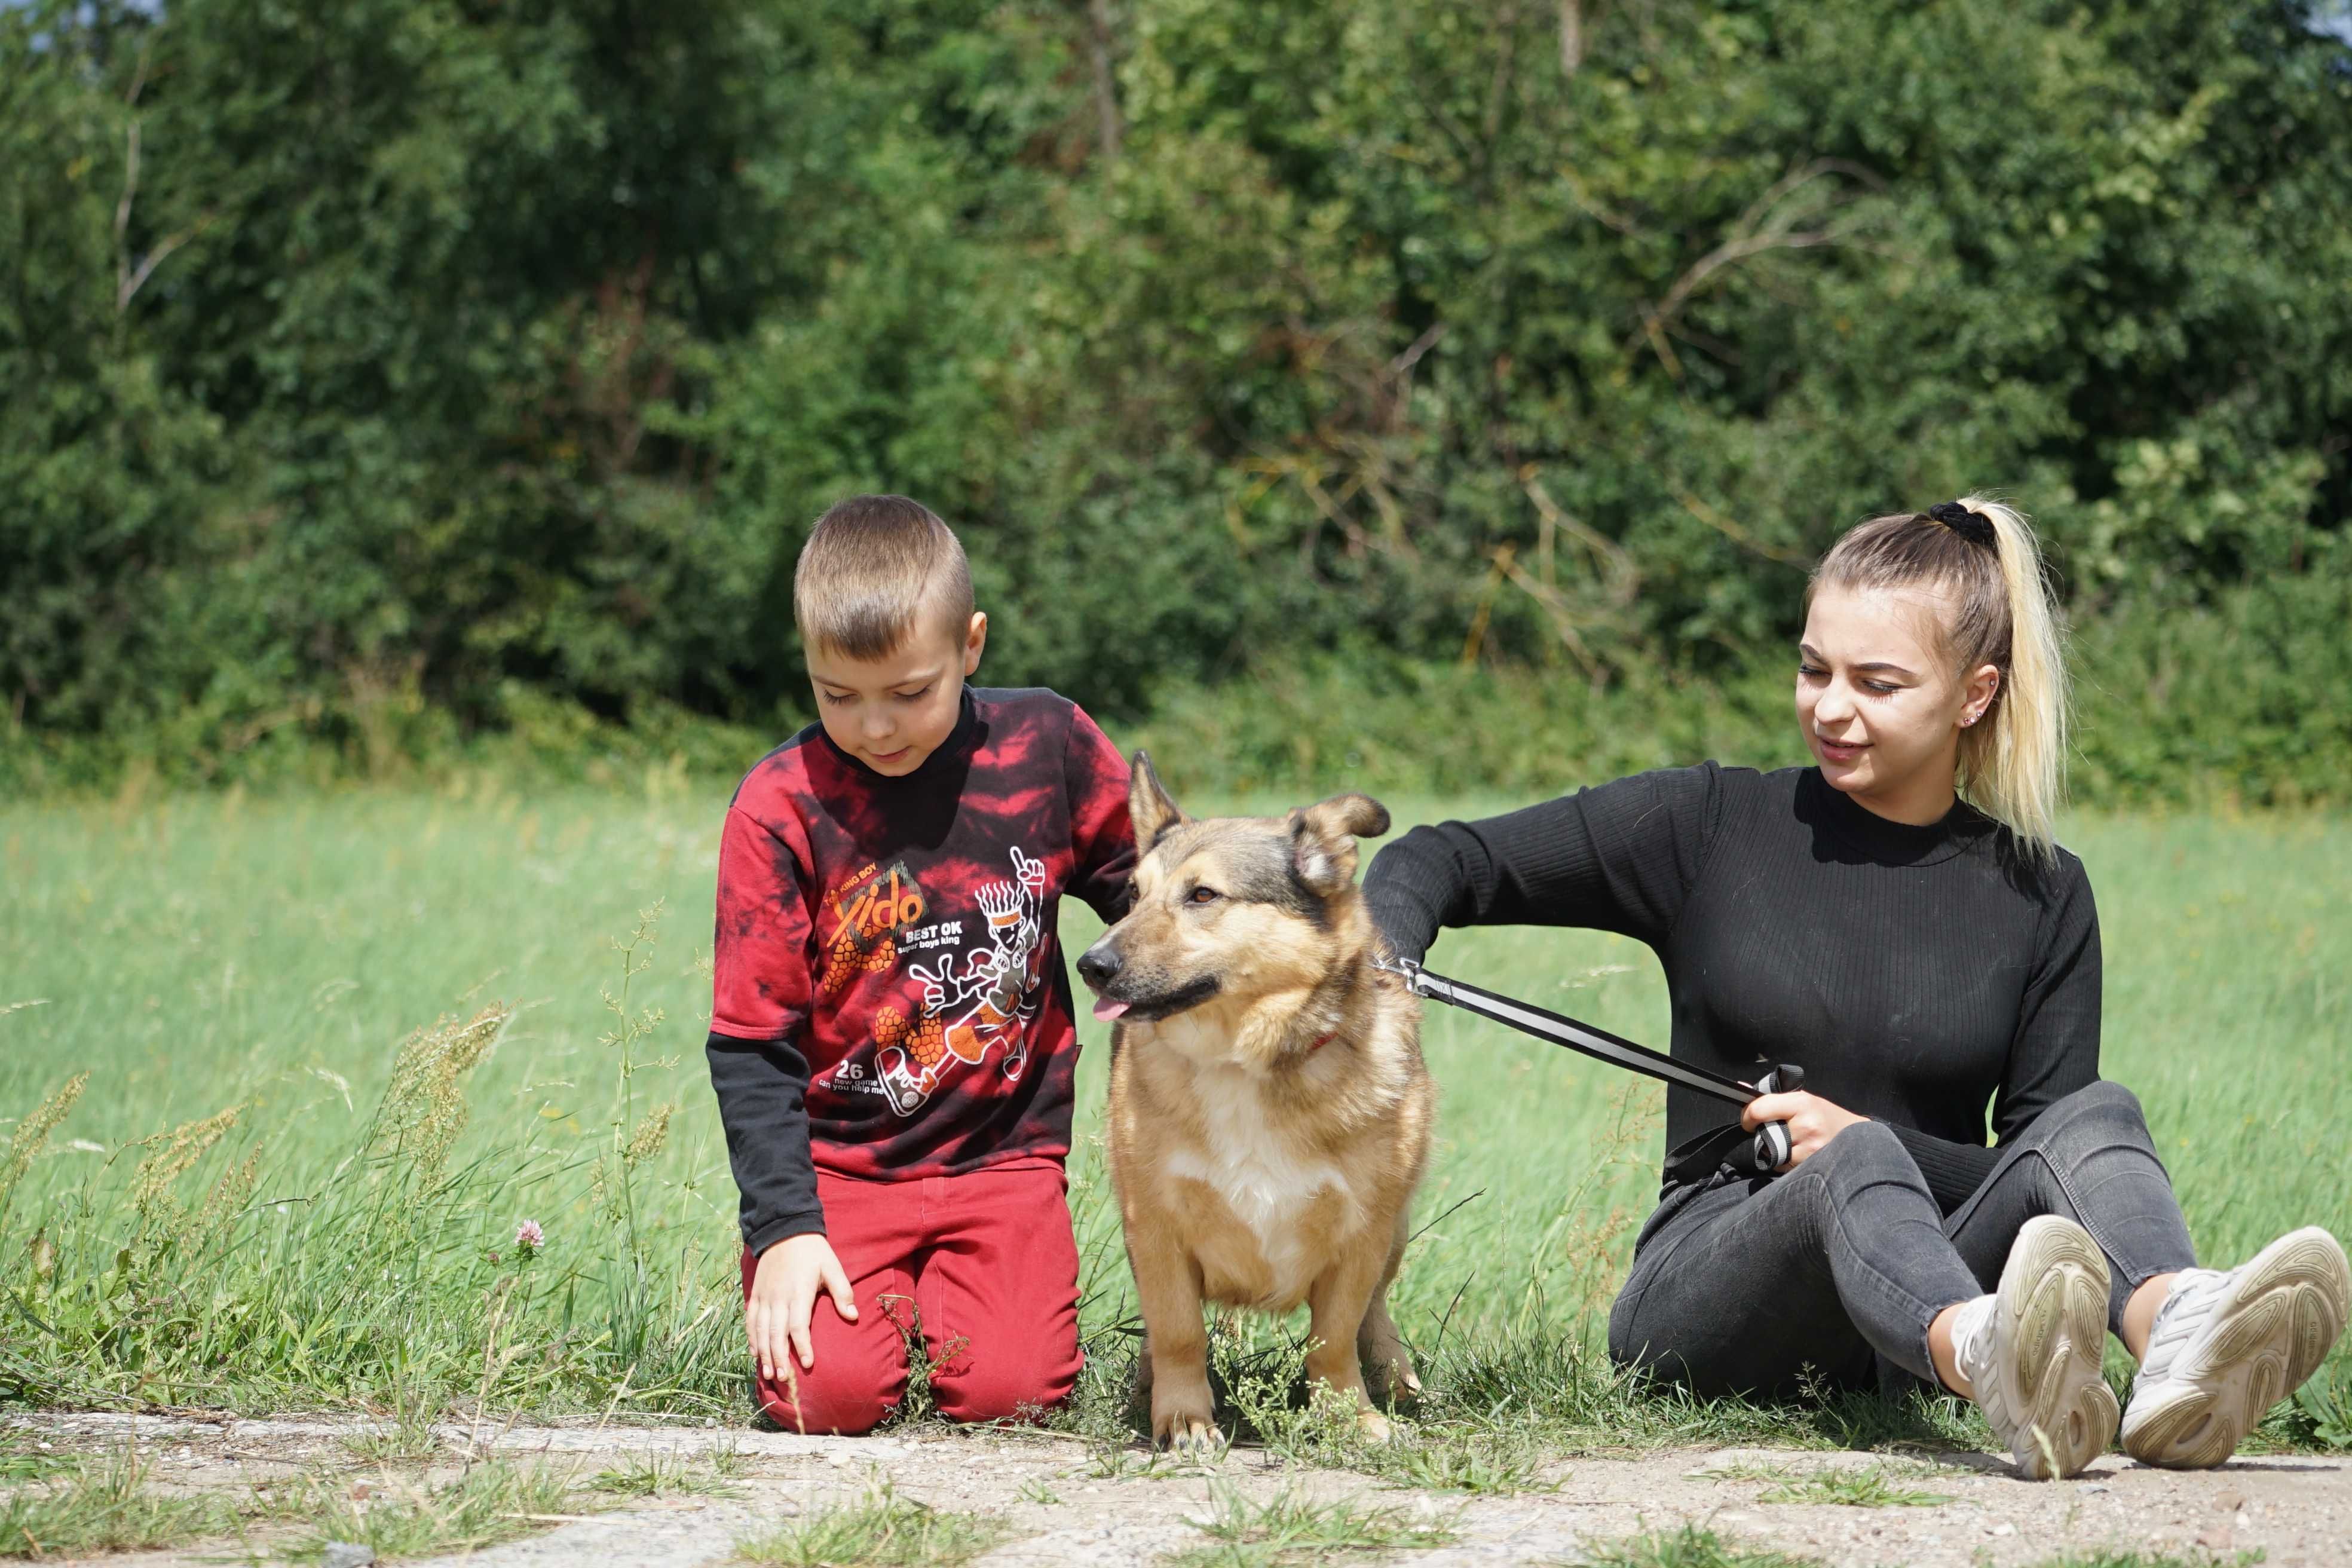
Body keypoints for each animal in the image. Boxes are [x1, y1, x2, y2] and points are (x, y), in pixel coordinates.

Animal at [1077, 752, 1430, 1448]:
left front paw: (1349, 1416)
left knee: (1376, 1310)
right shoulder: (1154, 1225)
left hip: (1396, 1228)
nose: (1091, 965)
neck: (1241, 1061)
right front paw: (1182, 1417)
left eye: (1202, 895)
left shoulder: (1362, 1231)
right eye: (1132, 895)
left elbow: (1334, 1337)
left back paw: (1395, 1376)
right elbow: (1179, 1332)